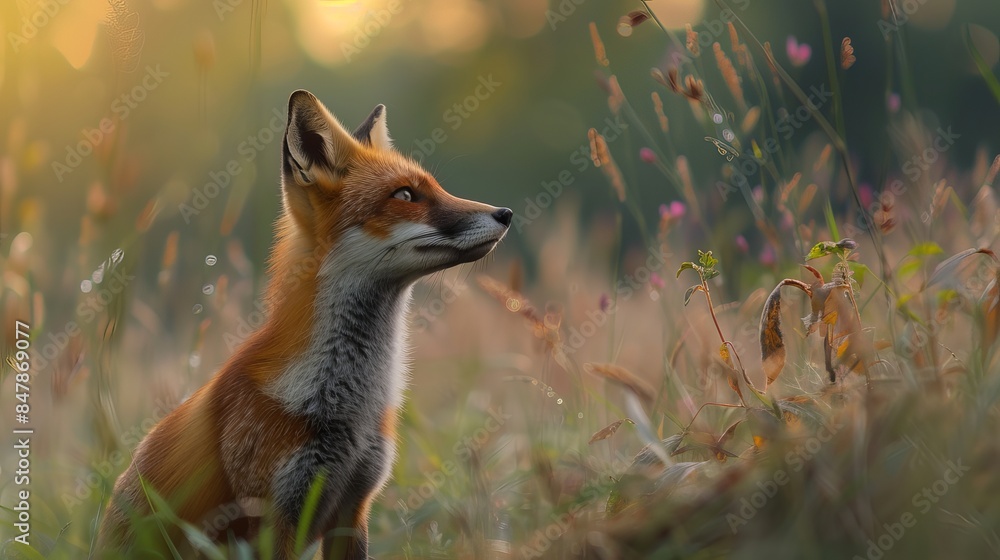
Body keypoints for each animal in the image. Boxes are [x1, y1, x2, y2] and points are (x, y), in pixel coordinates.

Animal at [97, 89, 512, 559]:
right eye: (405, 195)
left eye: (437, 188)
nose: (506, 213)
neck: (348, 407)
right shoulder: (272, 516)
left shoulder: (353, 508)